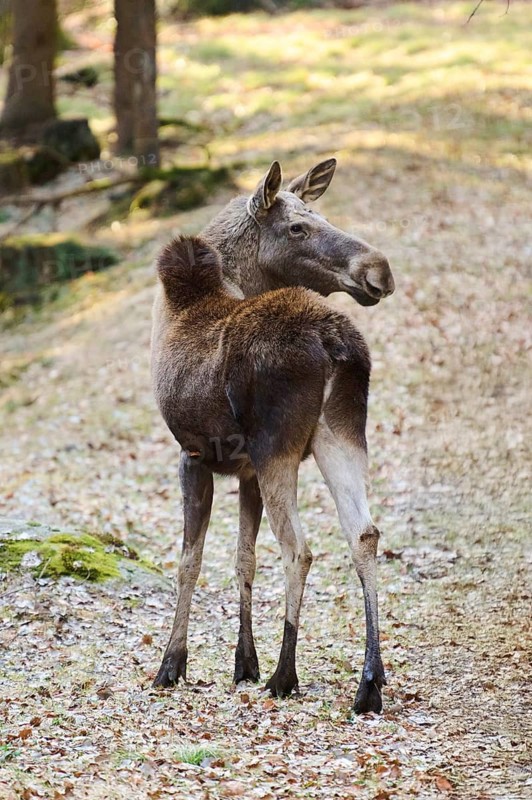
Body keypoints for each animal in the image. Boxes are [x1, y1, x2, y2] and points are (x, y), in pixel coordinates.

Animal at [150, 158, 395, 713]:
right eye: (298, 227)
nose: (380, 269)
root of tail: (334, 342)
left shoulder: (193, 453)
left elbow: (190, 560)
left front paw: (172, 664)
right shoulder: (244, 471)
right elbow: (245, 558)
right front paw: (244, 662)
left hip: (277, 446)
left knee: (300, 547)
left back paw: (286, 675)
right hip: (339, 435)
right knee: (364, 533)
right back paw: (369, 683)